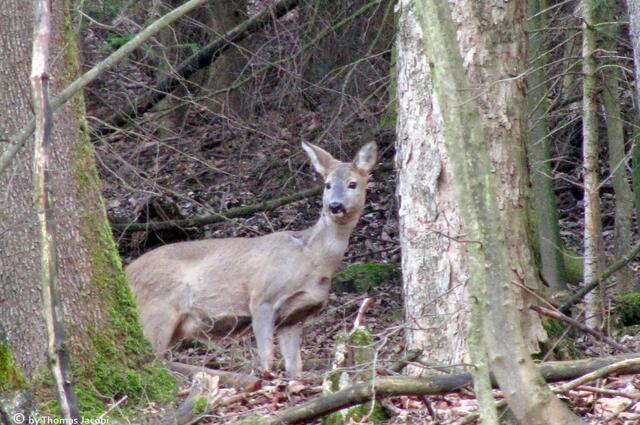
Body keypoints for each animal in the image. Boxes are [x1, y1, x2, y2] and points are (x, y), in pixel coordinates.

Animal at [125, 141, 377, 377]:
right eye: (327, 184)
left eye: (352, 184)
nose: (334, 205)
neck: (311, 259)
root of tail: (126, 271)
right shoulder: (262, 297)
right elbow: (267, 357)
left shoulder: (295, 317)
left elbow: (294, 367)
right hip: (155, 311)